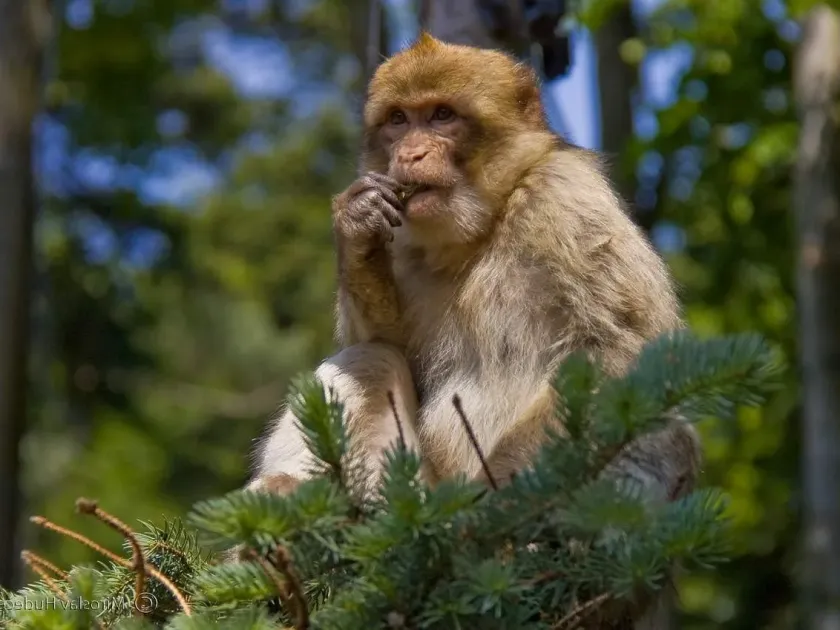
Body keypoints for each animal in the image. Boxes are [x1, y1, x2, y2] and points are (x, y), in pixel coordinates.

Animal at [244, 34, 701, 627]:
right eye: (398, 120)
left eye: (441, 116)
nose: (410, 154)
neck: (483, 227)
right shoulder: (404, 239)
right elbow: (386, 344)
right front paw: (356, 229)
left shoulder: (566, 199)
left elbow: (626, 352)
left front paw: (491, 512)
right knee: (372, 360)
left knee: (661, 431)